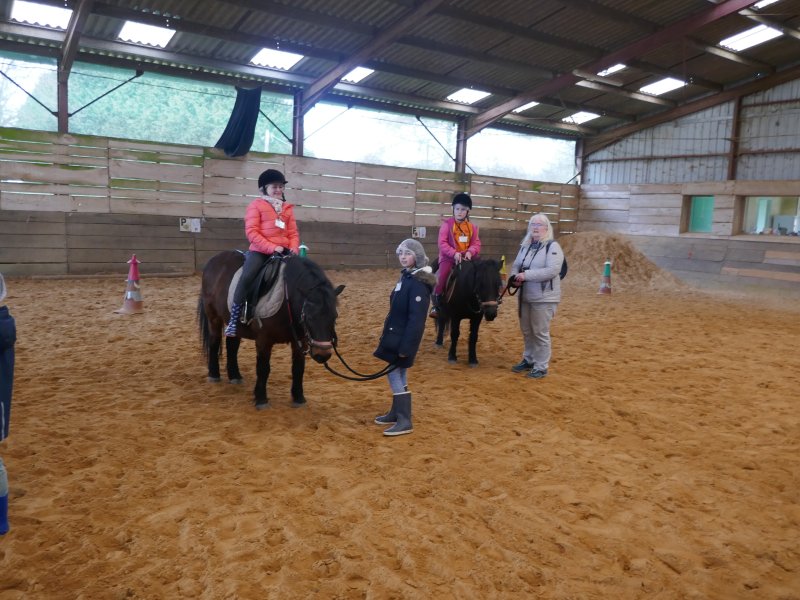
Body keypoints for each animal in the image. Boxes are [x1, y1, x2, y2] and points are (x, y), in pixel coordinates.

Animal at [197, 250, 343, 409]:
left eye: (334, 316)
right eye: (308, 317)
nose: (322, 355)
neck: (287, 300)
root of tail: (215, 259)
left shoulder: (300, 341)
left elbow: (298, 368)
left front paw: (299, 398)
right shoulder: (263, 340)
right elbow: (263, 368)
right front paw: (261, 399)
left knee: (232, 345)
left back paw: (235, 376)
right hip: (213, 318)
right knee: (214, 342)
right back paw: (214, 375)